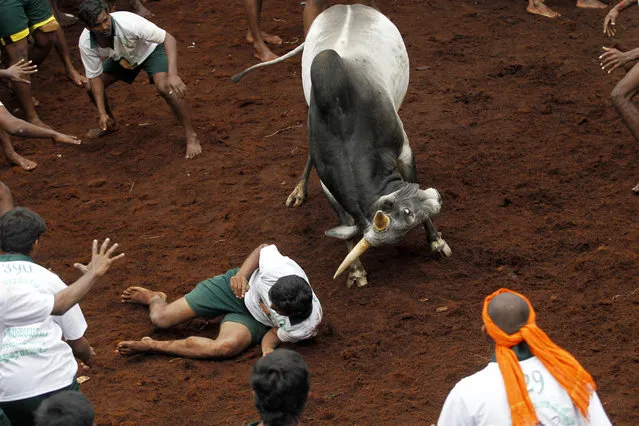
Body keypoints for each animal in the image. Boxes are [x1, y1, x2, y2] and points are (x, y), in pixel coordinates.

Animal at [232, 3, 452, 288]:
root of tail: (346, 5)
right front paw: (356, 271)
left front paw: (436, 242)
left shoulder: (404, 150)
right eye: (407, 213)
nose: (437, 198)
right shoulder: (328, 183)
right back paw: (298, 191)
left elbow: (412, 178)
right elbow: (345, 223)